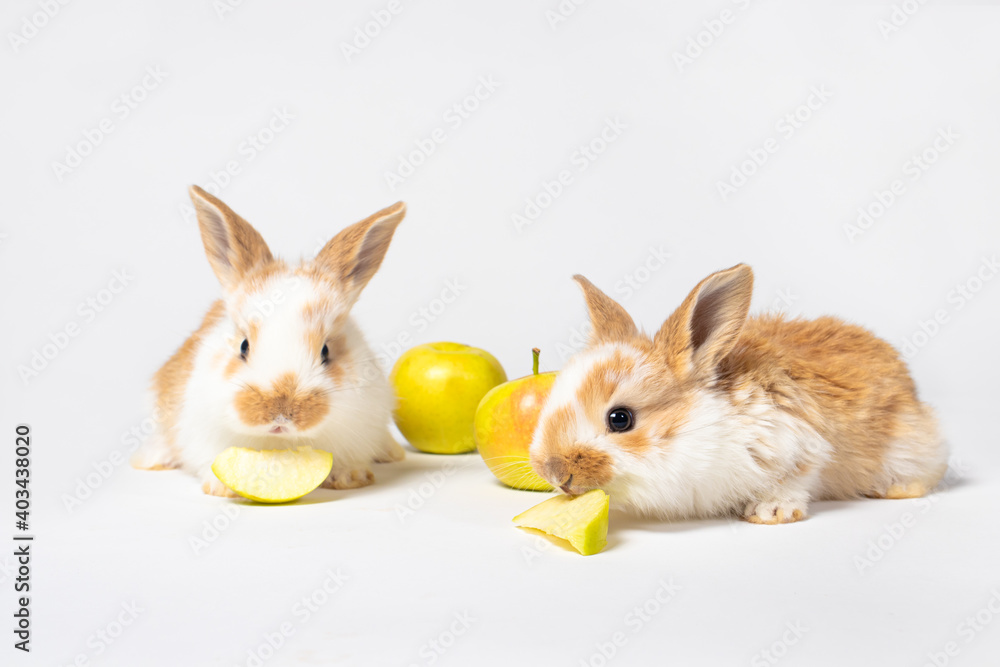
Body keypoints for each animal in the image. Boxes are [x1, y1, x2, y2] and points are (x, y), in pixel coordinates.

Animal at [529, 264, 949, 523]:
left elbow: (797, 479)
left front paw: (771, 513)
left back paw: (895, 489)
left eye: (620, 419)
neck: (701, 424)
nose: (554, 472)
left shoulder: (799, 443)